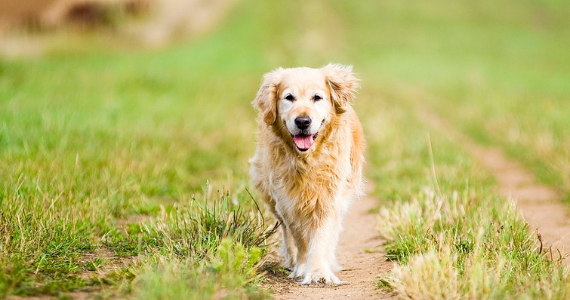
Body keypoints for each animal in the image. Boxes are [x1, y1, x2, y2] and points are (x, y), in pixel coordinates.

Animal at [248, 62, 364, 284]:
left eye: (317, 97)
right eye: (289, 97)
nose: (303, 121)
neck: (306, 159)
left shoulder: (328, 197)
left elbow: (321, 235)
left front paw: (318, 271)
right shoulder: (287, 200)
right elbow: (299, 236)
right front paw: (302, 267)